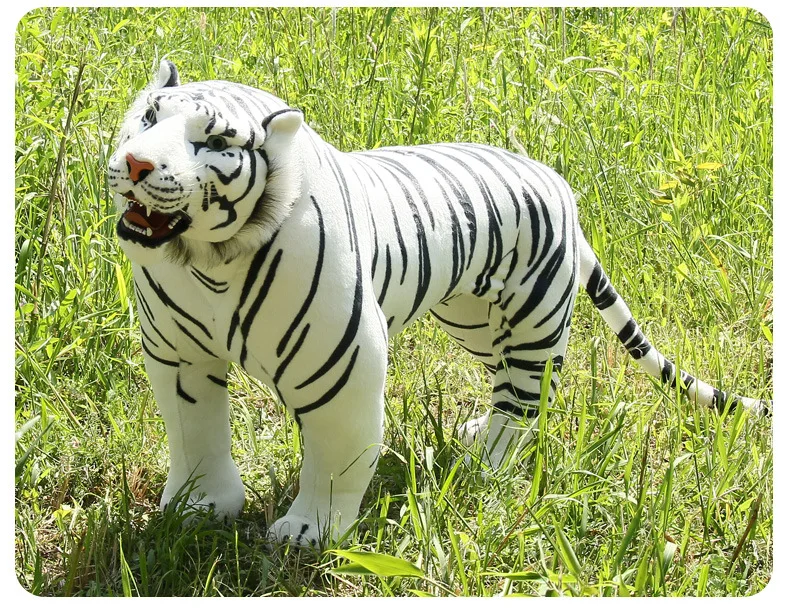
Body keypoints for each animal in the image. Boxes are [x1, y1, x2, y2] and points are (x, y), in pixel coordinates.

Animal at [107, 60, 769, 547]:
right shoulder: (178, 357)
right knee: (504, 383)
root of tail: (559, 185)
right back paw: (479, 436)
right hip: (473, 321)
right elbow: (195, 435)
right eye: (150, 116)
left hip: (532, 319)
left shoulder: (339, 368)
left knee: (528, 395)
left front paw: (308, 531)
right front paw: (199, 507)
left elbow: (336, 454)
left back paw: (491, 462)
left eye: (212, 141)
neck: (209, 260)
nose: (137, 162)